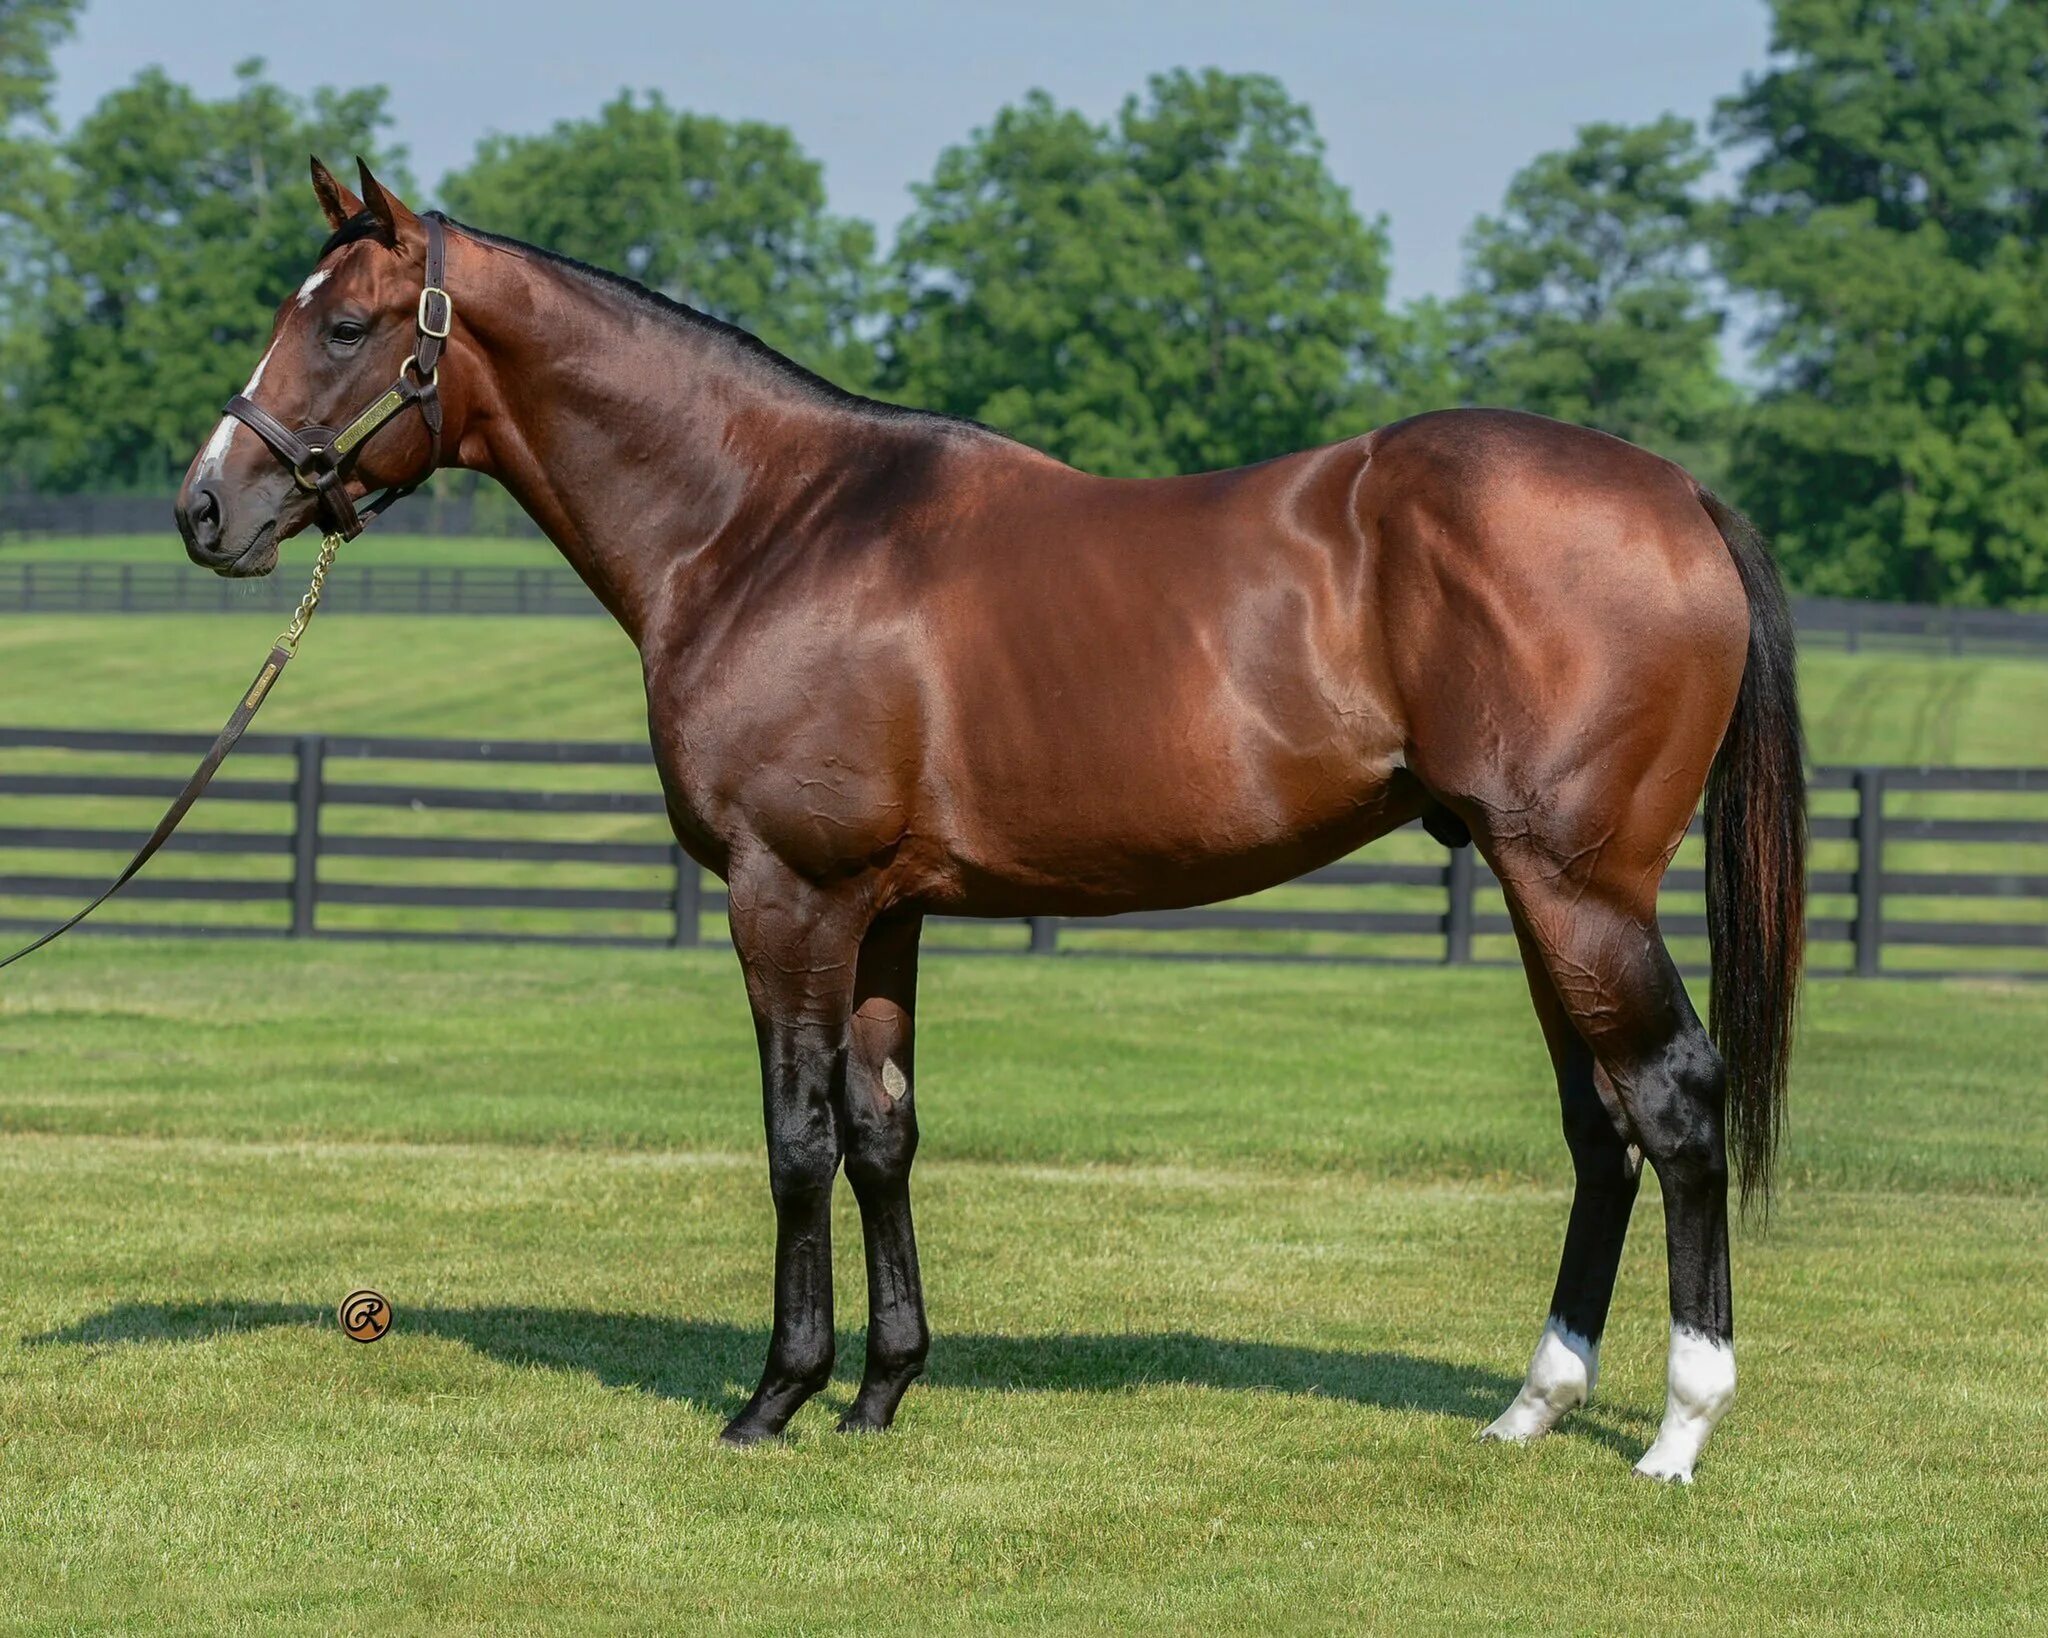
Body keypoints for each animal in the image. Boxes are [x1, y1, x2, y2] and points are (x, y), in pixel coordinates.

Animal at [180, 162, 1810, 1482]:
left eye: (342, 326)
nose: (205, 508)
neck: (762, 525)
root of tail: (1678, 496)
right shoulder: (882, 907)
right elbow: (883, 1133)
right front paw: (881, 1391)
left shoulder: (788, 894)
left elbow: (797, 1136)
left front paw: (775, 1398)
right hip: (1542, 893)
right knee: (1600, 1127)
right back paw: (1533, 1406)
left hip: (1577, 885)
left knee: (1671, 1100)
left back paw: (1678, 1428)